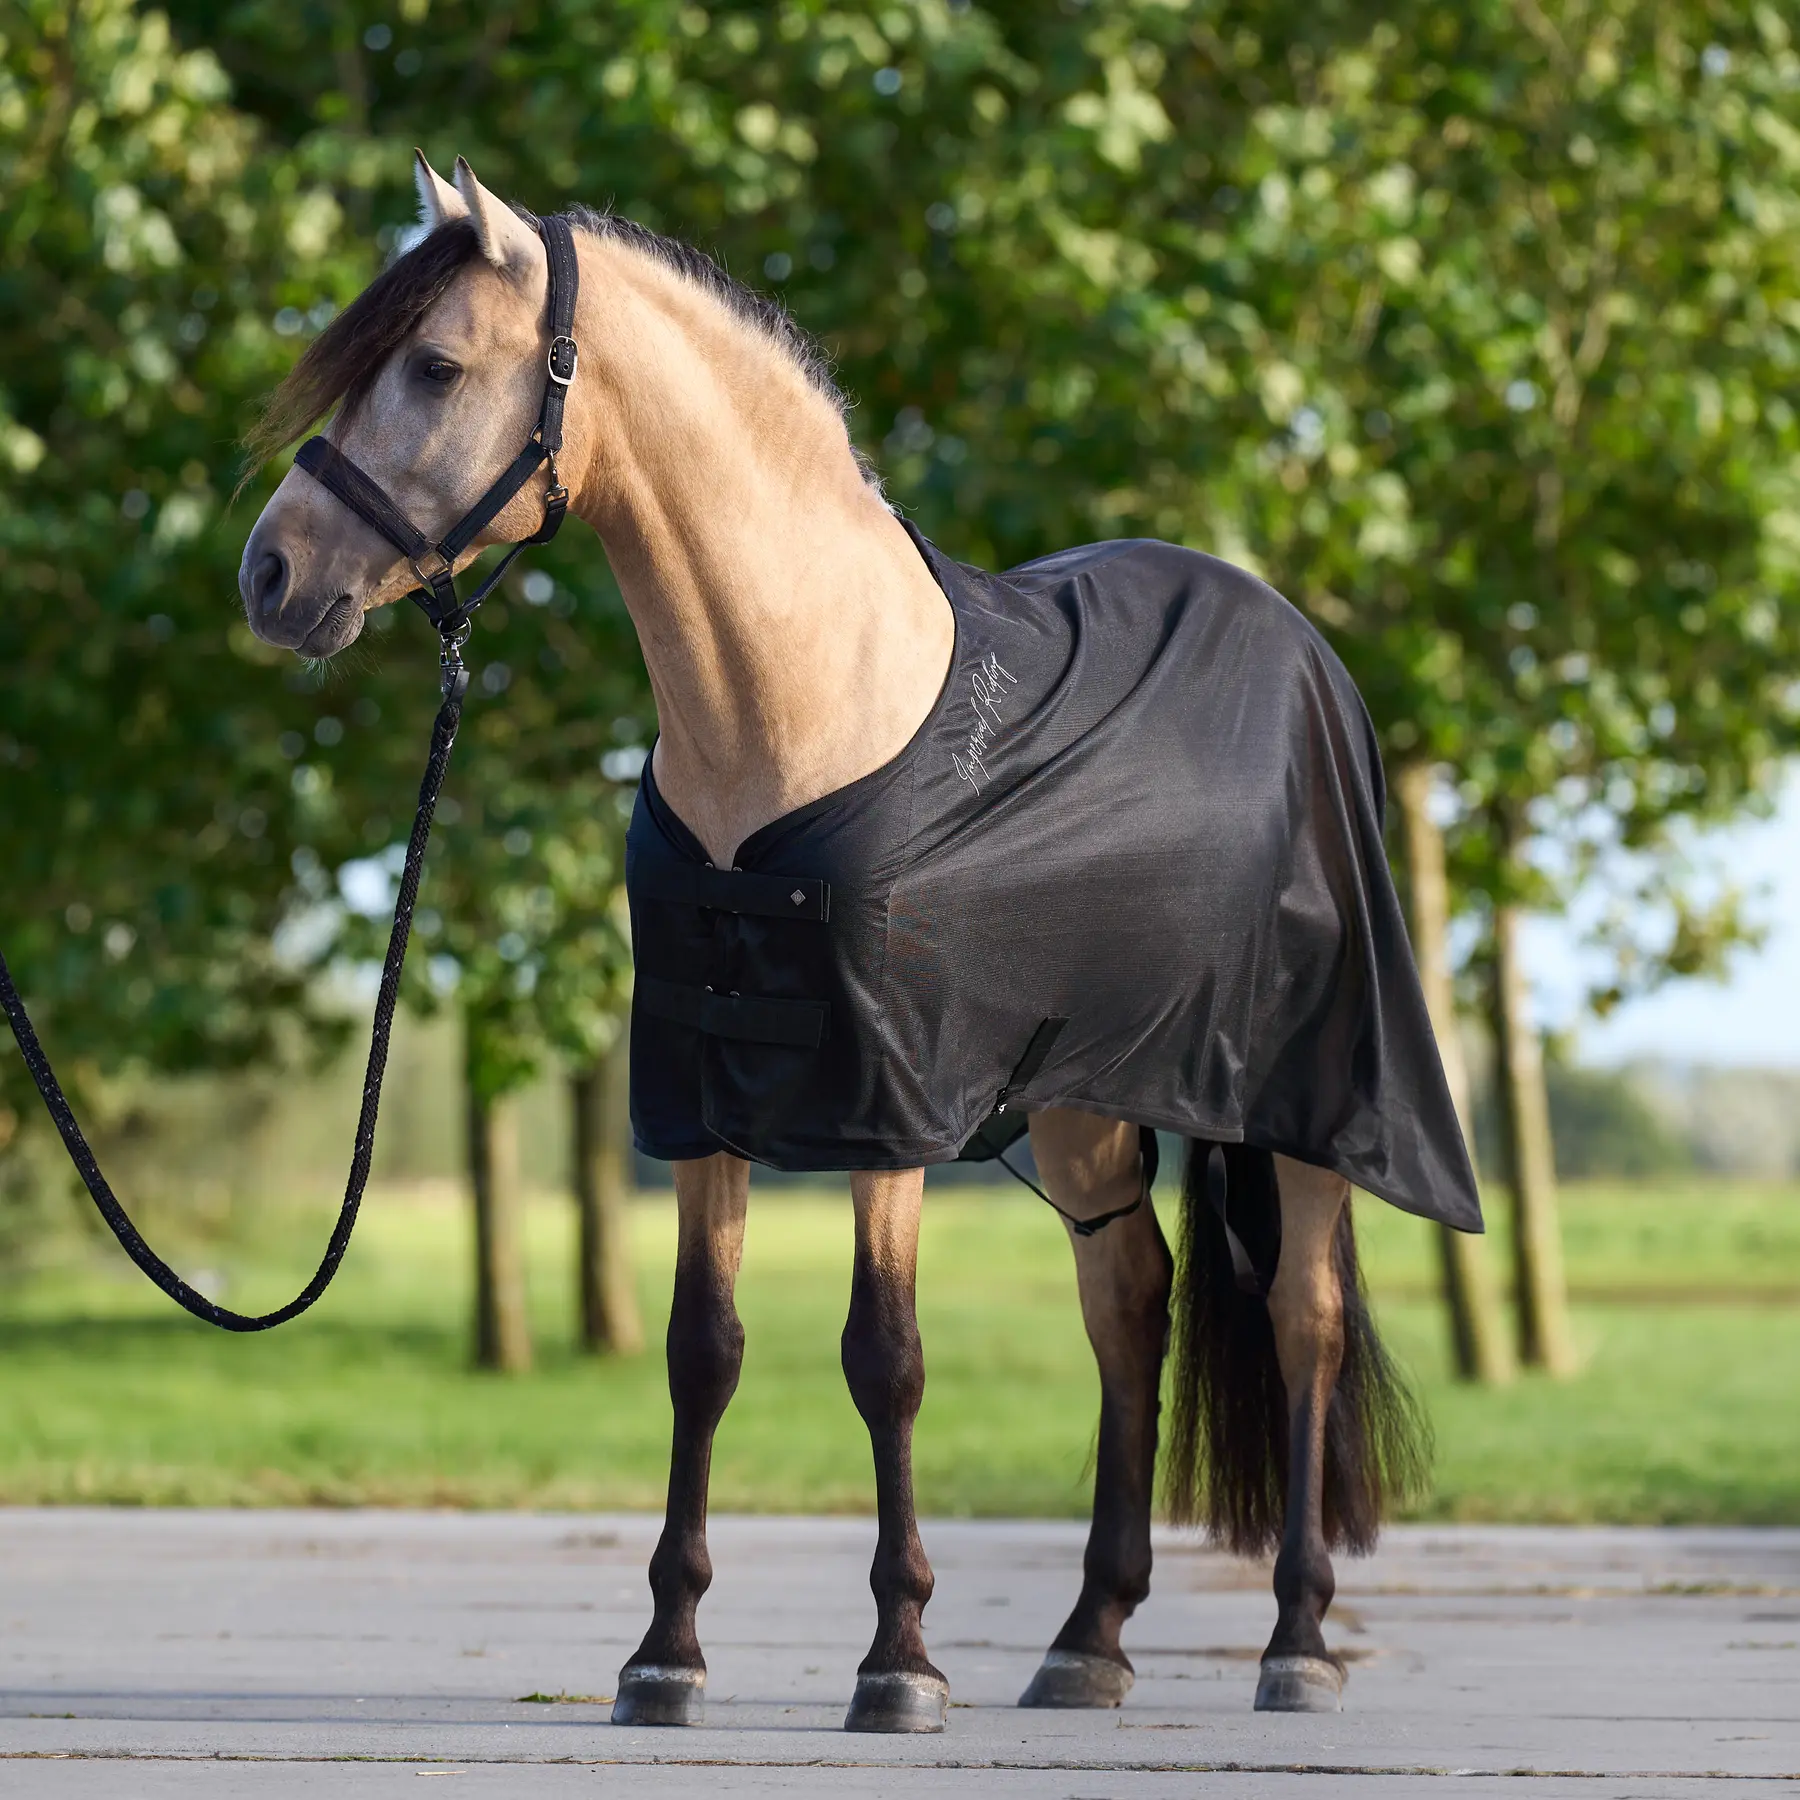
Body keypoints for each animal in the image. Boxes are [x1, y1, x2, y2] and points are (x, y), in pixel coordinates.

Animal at [240, 155, 1478, 1734]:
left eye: (438, 366)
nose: (270, 579)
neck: (798, 701)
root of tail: (1302, 647)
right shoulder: (703, 1097)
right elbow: (701, 1352)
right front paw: (666, 1656)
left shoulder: (886, 1105)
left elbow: (883, 1360)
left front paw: (898, 1661)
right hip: (1081, 1106)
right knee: (1129, 1304)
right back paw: (1089, 1640)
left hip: (1307, 1101)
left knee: (1304, 1317)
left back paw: (1299, 1644)